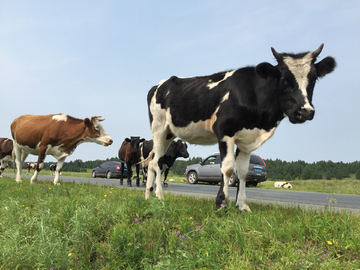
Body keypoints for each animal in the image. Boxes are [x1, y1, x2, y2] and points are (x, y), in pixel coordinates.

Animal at [145, 43, 336, 213]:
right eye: (283, 79)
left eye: (314, 79)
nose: (305, 111)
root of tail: (159, 85)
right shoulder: (224, 131)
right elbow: (228, 168)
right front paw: (221, 204)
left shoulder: (247, 139)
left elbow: (243, 172)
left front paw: (242, 206)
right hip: (159, 129)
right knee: (157, 162)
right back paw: (159, 195)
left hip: (168, 134)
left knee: (152, 160)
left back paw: (148, 195)